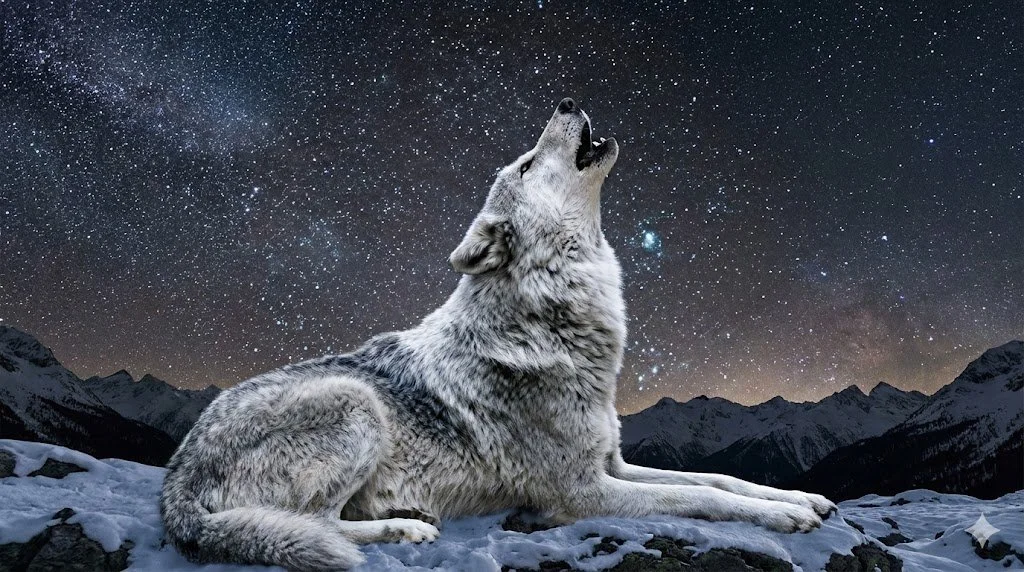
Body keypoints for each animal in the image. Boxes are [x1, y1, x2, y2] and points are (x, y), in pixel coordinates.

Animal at [160, 98, 837, 571]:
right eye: (528, 164)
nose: (565, 100)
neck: (554, 322)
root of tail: (176, 487)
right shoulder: (583, 492)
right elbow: (702, 499)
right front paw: (782, 518)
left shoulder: (613, 461)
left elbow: (716, 479)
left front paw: (798, 498)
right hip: (355, 405)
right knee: (318, 524)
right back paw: (404, 527)